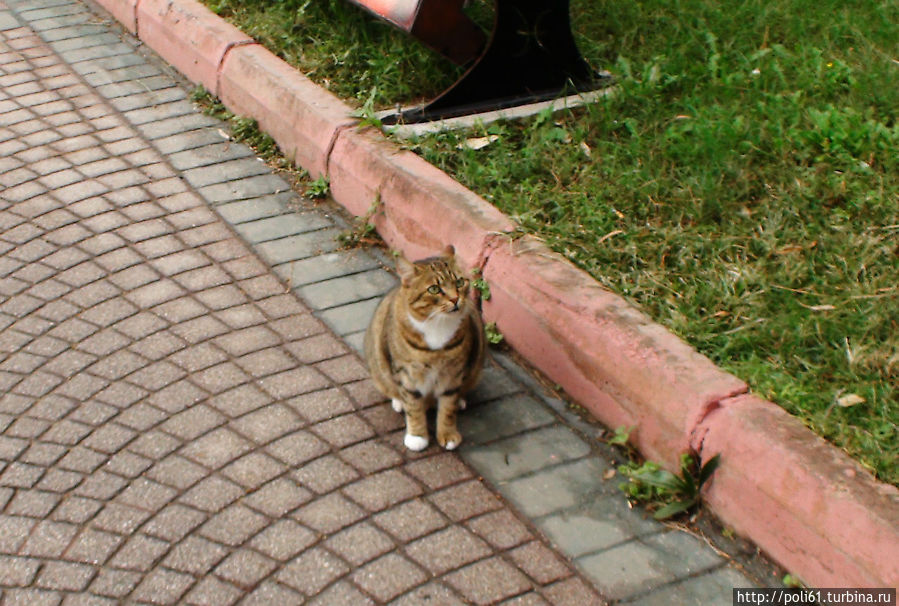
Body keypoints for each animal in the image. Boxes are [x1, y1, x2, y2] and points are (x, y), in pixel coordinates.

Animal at [364, 246, 486, 452]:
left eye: (459, 282)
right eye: (434, 289)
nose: (455, 299)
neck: (437, 325)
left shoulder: (453, 373)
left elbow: (448, 407)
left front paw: (448, 434)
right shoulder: (406, 373)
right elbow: (413, 406)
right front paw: (417, 436)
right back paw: (399, 402)